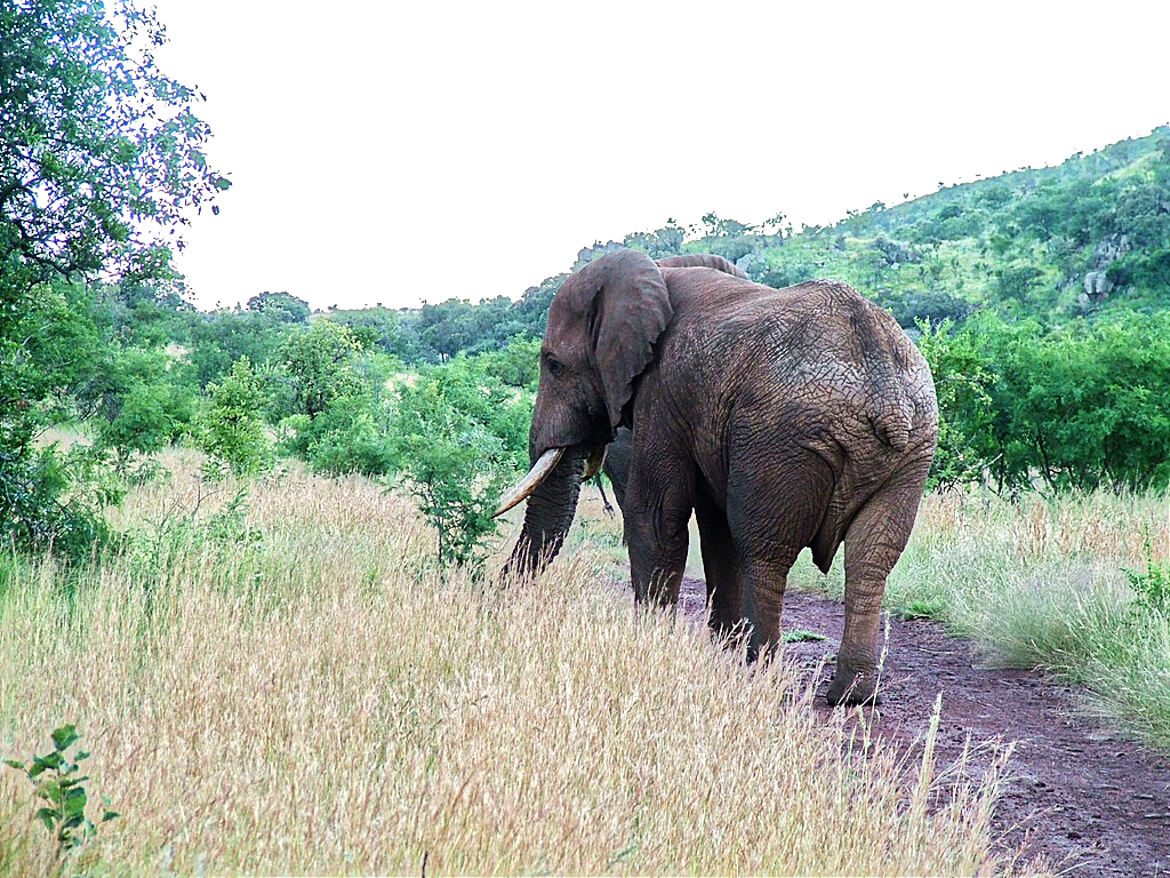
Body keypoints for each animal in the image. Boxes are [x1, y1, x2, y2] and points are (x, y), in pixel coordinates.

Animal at [496, 249, 938, 706]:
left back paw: (760, 675)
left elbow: (657, 515)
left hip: (779, 436)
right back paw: (852, 695)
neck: (659, 272)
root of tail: (883, 387)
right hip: (911, 450)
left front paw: (651, 646)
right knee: (871, 559)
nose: (493, 600)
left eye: (553, 365)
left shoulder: (663, 389)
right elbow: (715, 530)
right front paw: (719, 652)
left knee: (764, 550)